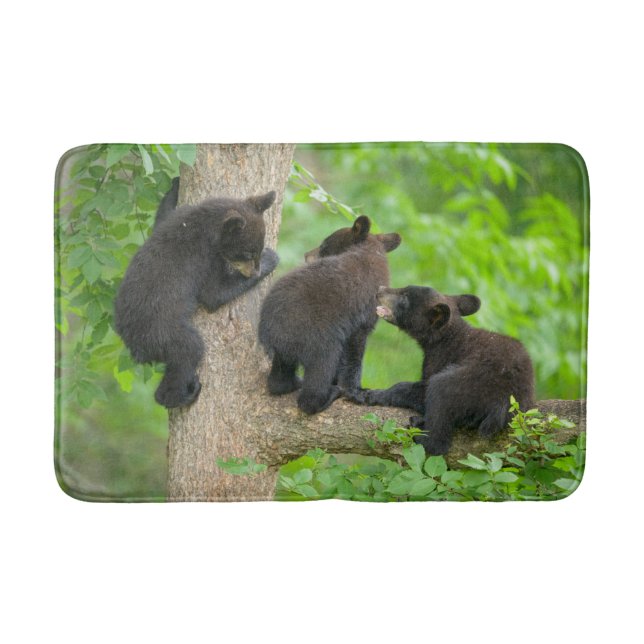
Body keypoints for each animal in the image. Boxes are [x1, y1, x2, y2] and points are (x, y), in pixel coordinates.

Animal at [114, 186, 279, 408]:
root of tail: (134, 346)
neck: (206, 225)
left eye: (257, 250)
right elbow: (213, 293)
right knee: (189, 350)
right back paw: (182, 395)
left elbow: (162, 216)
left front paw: (174, 185)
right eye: (247, 253)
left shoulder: (175, 218)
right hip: (162, 332)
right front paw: (272, 259)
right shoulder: (203, 258)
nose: (255, 271)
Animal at [258, 216, 402, 415]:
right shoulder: (360, 317)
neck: (370, 252)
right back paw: (328, 394)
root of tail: (271, 333)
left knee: (279, 378)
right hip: (319, 340)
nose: (306, 255)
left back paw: (292, 383)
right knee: (319, 373)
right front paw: (356, 390)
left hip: (285, 351)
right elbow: (354, 353)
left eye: (324, 244)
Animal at [345, 285, 535, 455]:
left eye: (405, 297)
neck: (446, 337)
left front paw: (368, 394)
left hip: (474, 383)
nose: (380, 289)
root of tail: (505, 401)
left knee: (440, 396)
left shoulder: (440, 358)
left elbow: (419, 388)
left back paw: (420, 433)